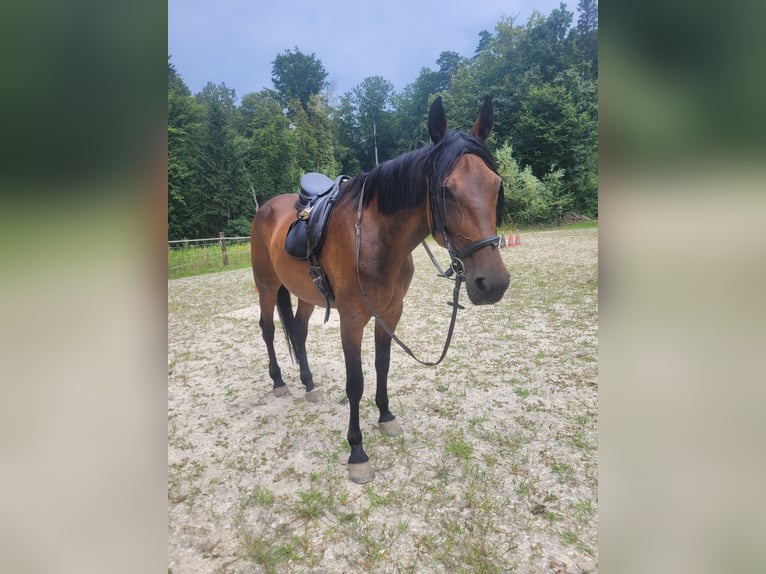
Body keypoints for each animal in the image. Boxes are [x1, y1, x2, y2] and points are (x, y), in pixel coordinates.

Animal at [249, 97, 510, 484]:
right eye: (446, 190)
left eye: (496, 184)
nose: (493, 283)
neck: (376, 238)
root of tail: (265, 208)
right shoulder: (352, 319)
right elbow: (355, 381)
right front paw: (357, 451)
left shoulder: (390, 312)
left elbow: (382, 365)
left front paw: (386, 416)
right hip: (267, 286)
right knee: (268, 329)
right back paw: (280, 381)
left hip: (307, 295)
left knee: (297, 330)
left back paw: (309, 385)